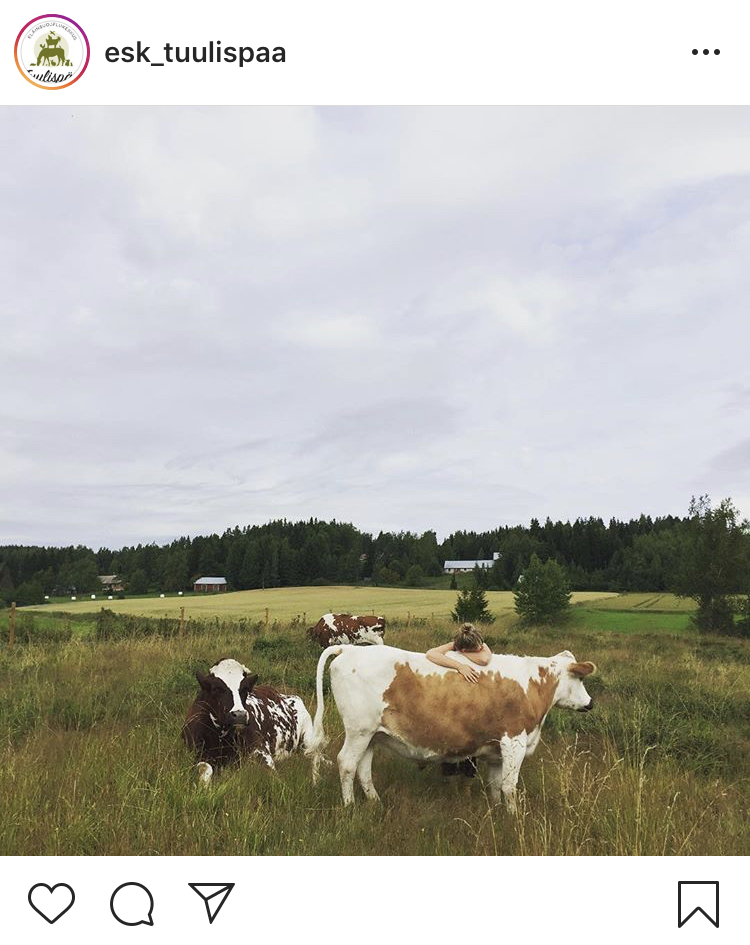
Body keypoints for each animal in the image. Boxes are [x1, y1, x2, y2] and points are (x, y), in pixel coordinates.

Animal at [184, 656, 324, 780]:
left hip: (308, 738)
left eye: (245, 689)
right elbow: (204, 768)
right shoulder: (197, 753)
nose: (239, 715)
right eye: (216, 688)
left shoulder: (261, 751)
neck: (222, 737)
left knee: (314, 756)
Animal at [312, 640, 600, 812]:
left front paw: (496, 810)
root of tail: (349, 648)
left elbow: (495, 784)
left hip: (371, 735)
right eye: (580, 678)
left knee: (363, 769)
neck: (533, 684)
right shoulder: (514, 741)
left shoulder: (496, 750)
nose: (590, 702)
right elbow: (509, 786)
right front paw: (513, 818)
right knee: (347, 763)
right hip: (358, 731)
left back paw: (375, 802)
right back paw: (349, 806)